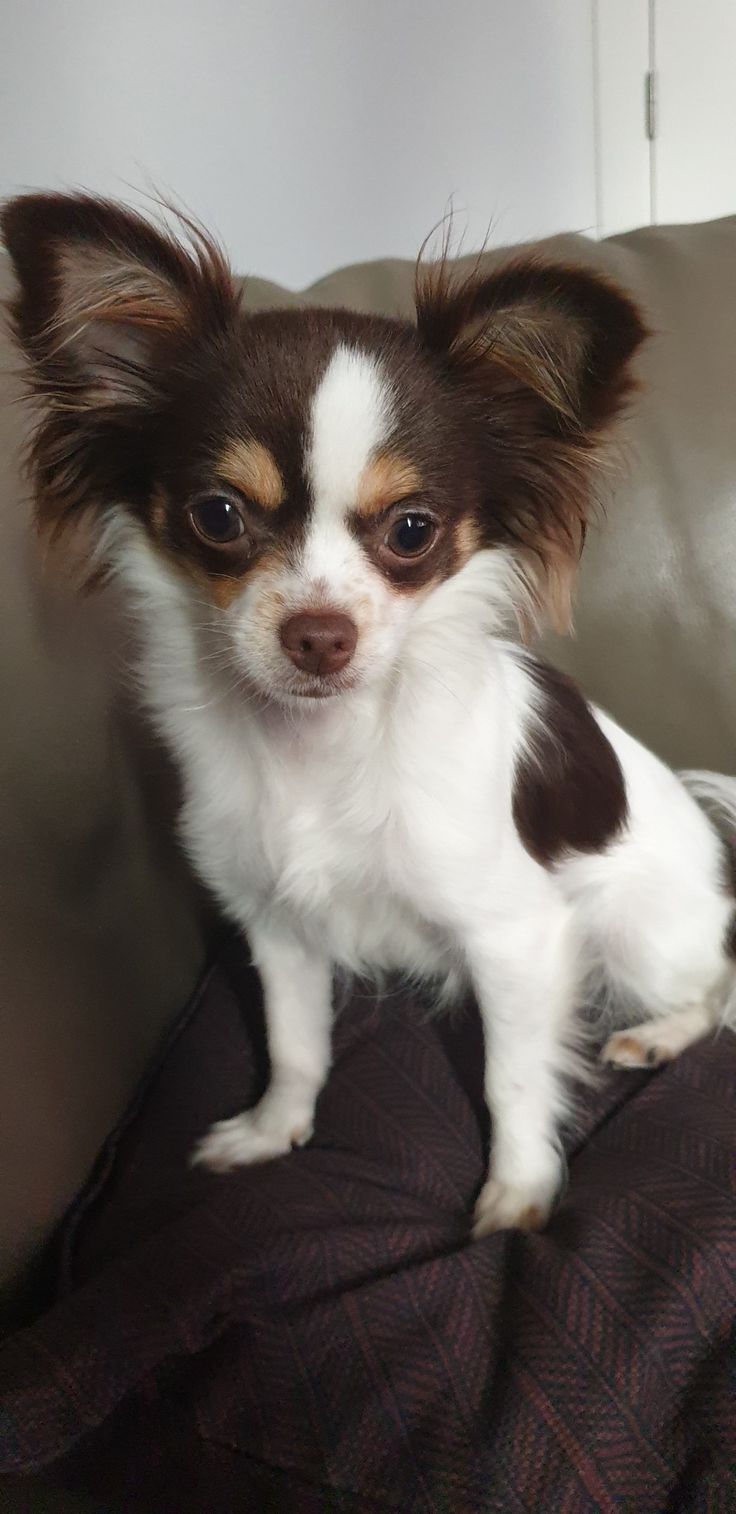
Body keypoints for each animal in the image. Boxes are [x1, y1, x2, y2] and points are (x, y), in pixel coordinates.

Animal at [2, 192, 732, 1229]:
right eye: (218, 516)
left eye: (412, 531)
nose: (319, 636)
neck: (322, 746)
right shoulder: (274, 925)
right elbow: (295, 1043)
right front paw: (274, 1130)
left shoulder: (518, 939)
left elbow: (512, 1080)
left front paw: (517, 1194)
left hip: (641, 938)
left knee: (716, 986)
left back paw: (659, 1037)